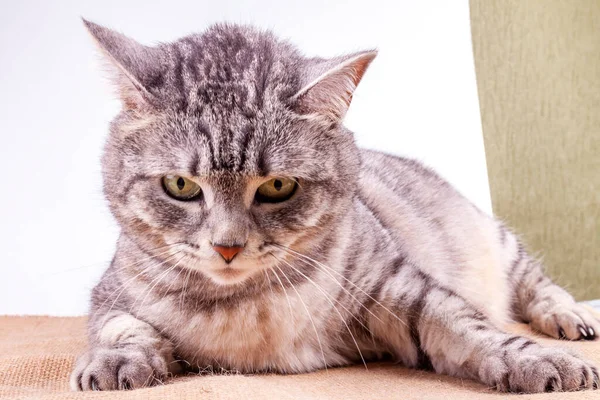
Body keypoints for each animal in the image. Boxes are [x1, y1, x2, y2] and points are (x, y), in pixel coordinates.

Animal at [71, 19, 600, 394]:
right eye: (180, 185)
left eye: (277, 186)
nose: (227, 247)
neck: (243, 306)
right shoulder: (110, 295)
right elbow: (121, 328)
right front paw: (114, 361)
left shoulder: (400, 287)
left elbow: (472, 326)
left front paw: (537, 359)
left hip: (499, 242)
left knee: (539, 285)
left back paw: (571, 318)